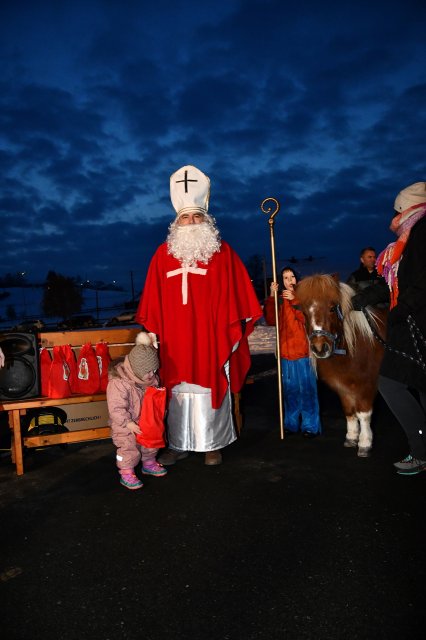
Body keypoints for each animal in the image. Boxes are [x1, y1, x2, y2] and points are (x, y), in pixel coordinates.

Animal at [296, 274, 386, 456]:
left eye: (332, 308)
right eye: (304, 312)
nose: (319, 348)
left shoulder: (367, 386)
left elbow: (363, 414)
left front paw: (364, 442)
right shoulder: (343, 387)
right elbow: (349, 412)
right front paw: (351, 437)